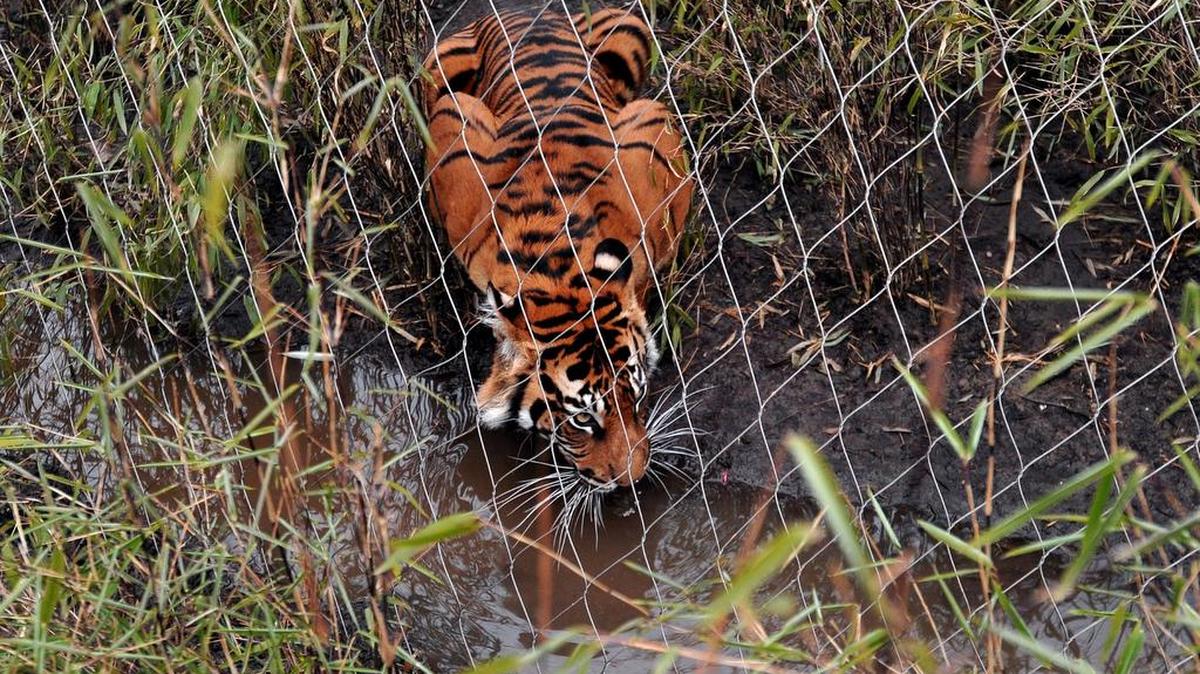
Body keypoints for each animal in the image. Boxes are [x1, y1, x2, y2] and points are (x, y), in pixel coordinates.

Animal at [421, 7, 693, 490]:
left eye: (637, 393)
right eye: (582, 419)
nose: (631, 480)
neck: (559, 265)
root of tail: (523, 11)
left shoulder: (655, 136)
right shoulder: (453, 129)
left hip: (630, 33)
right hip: (436, 70)